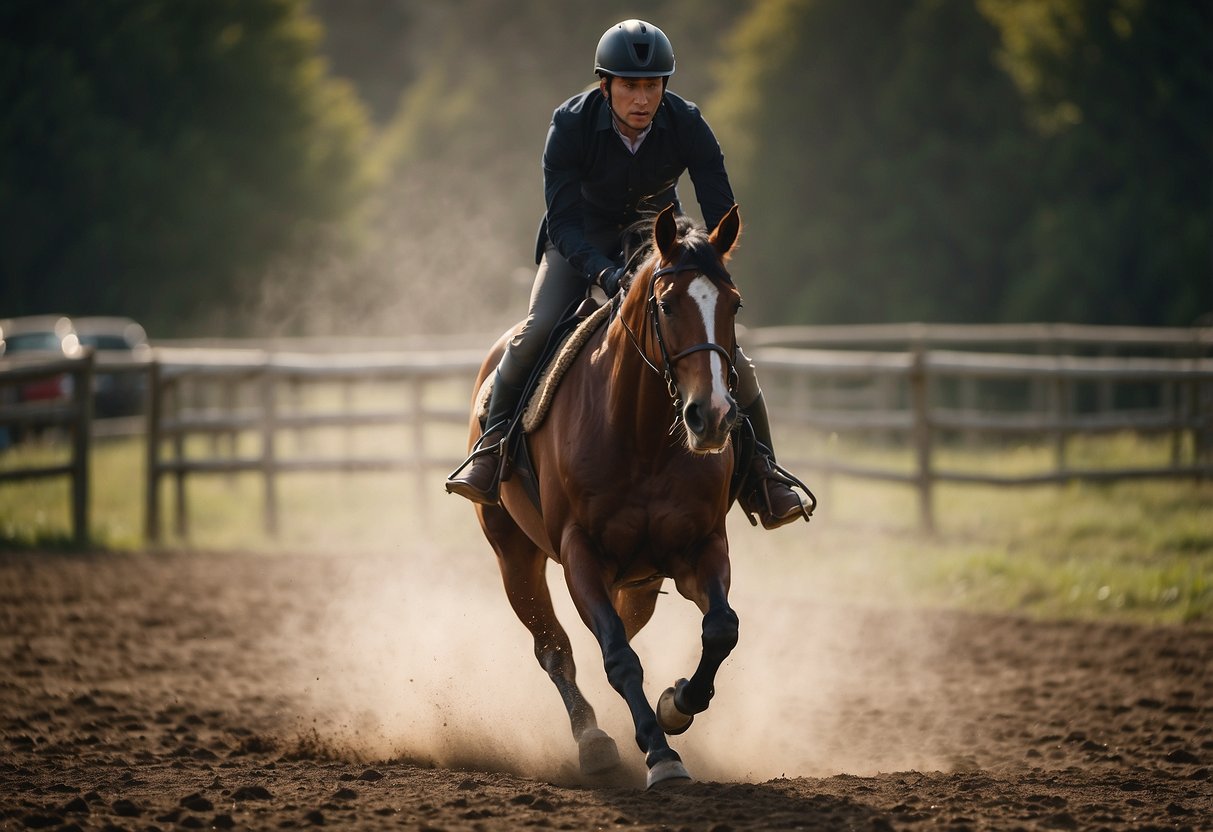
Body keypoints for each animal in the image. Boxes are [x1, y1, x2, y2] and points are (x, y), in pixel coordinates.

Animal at [468, 204, 742, 790]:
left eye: (734, 305)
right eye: (666, 304)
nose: (712, 416)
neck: (641, 437)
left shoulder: (700, 547)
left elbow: (720, 630)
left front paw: (675, 706)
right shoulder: (581, 556)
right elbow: (618, 656)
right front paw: (660, 755)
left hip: (641, 581)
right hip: (513, 556)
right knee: (555, 649)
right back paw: (592, 739)